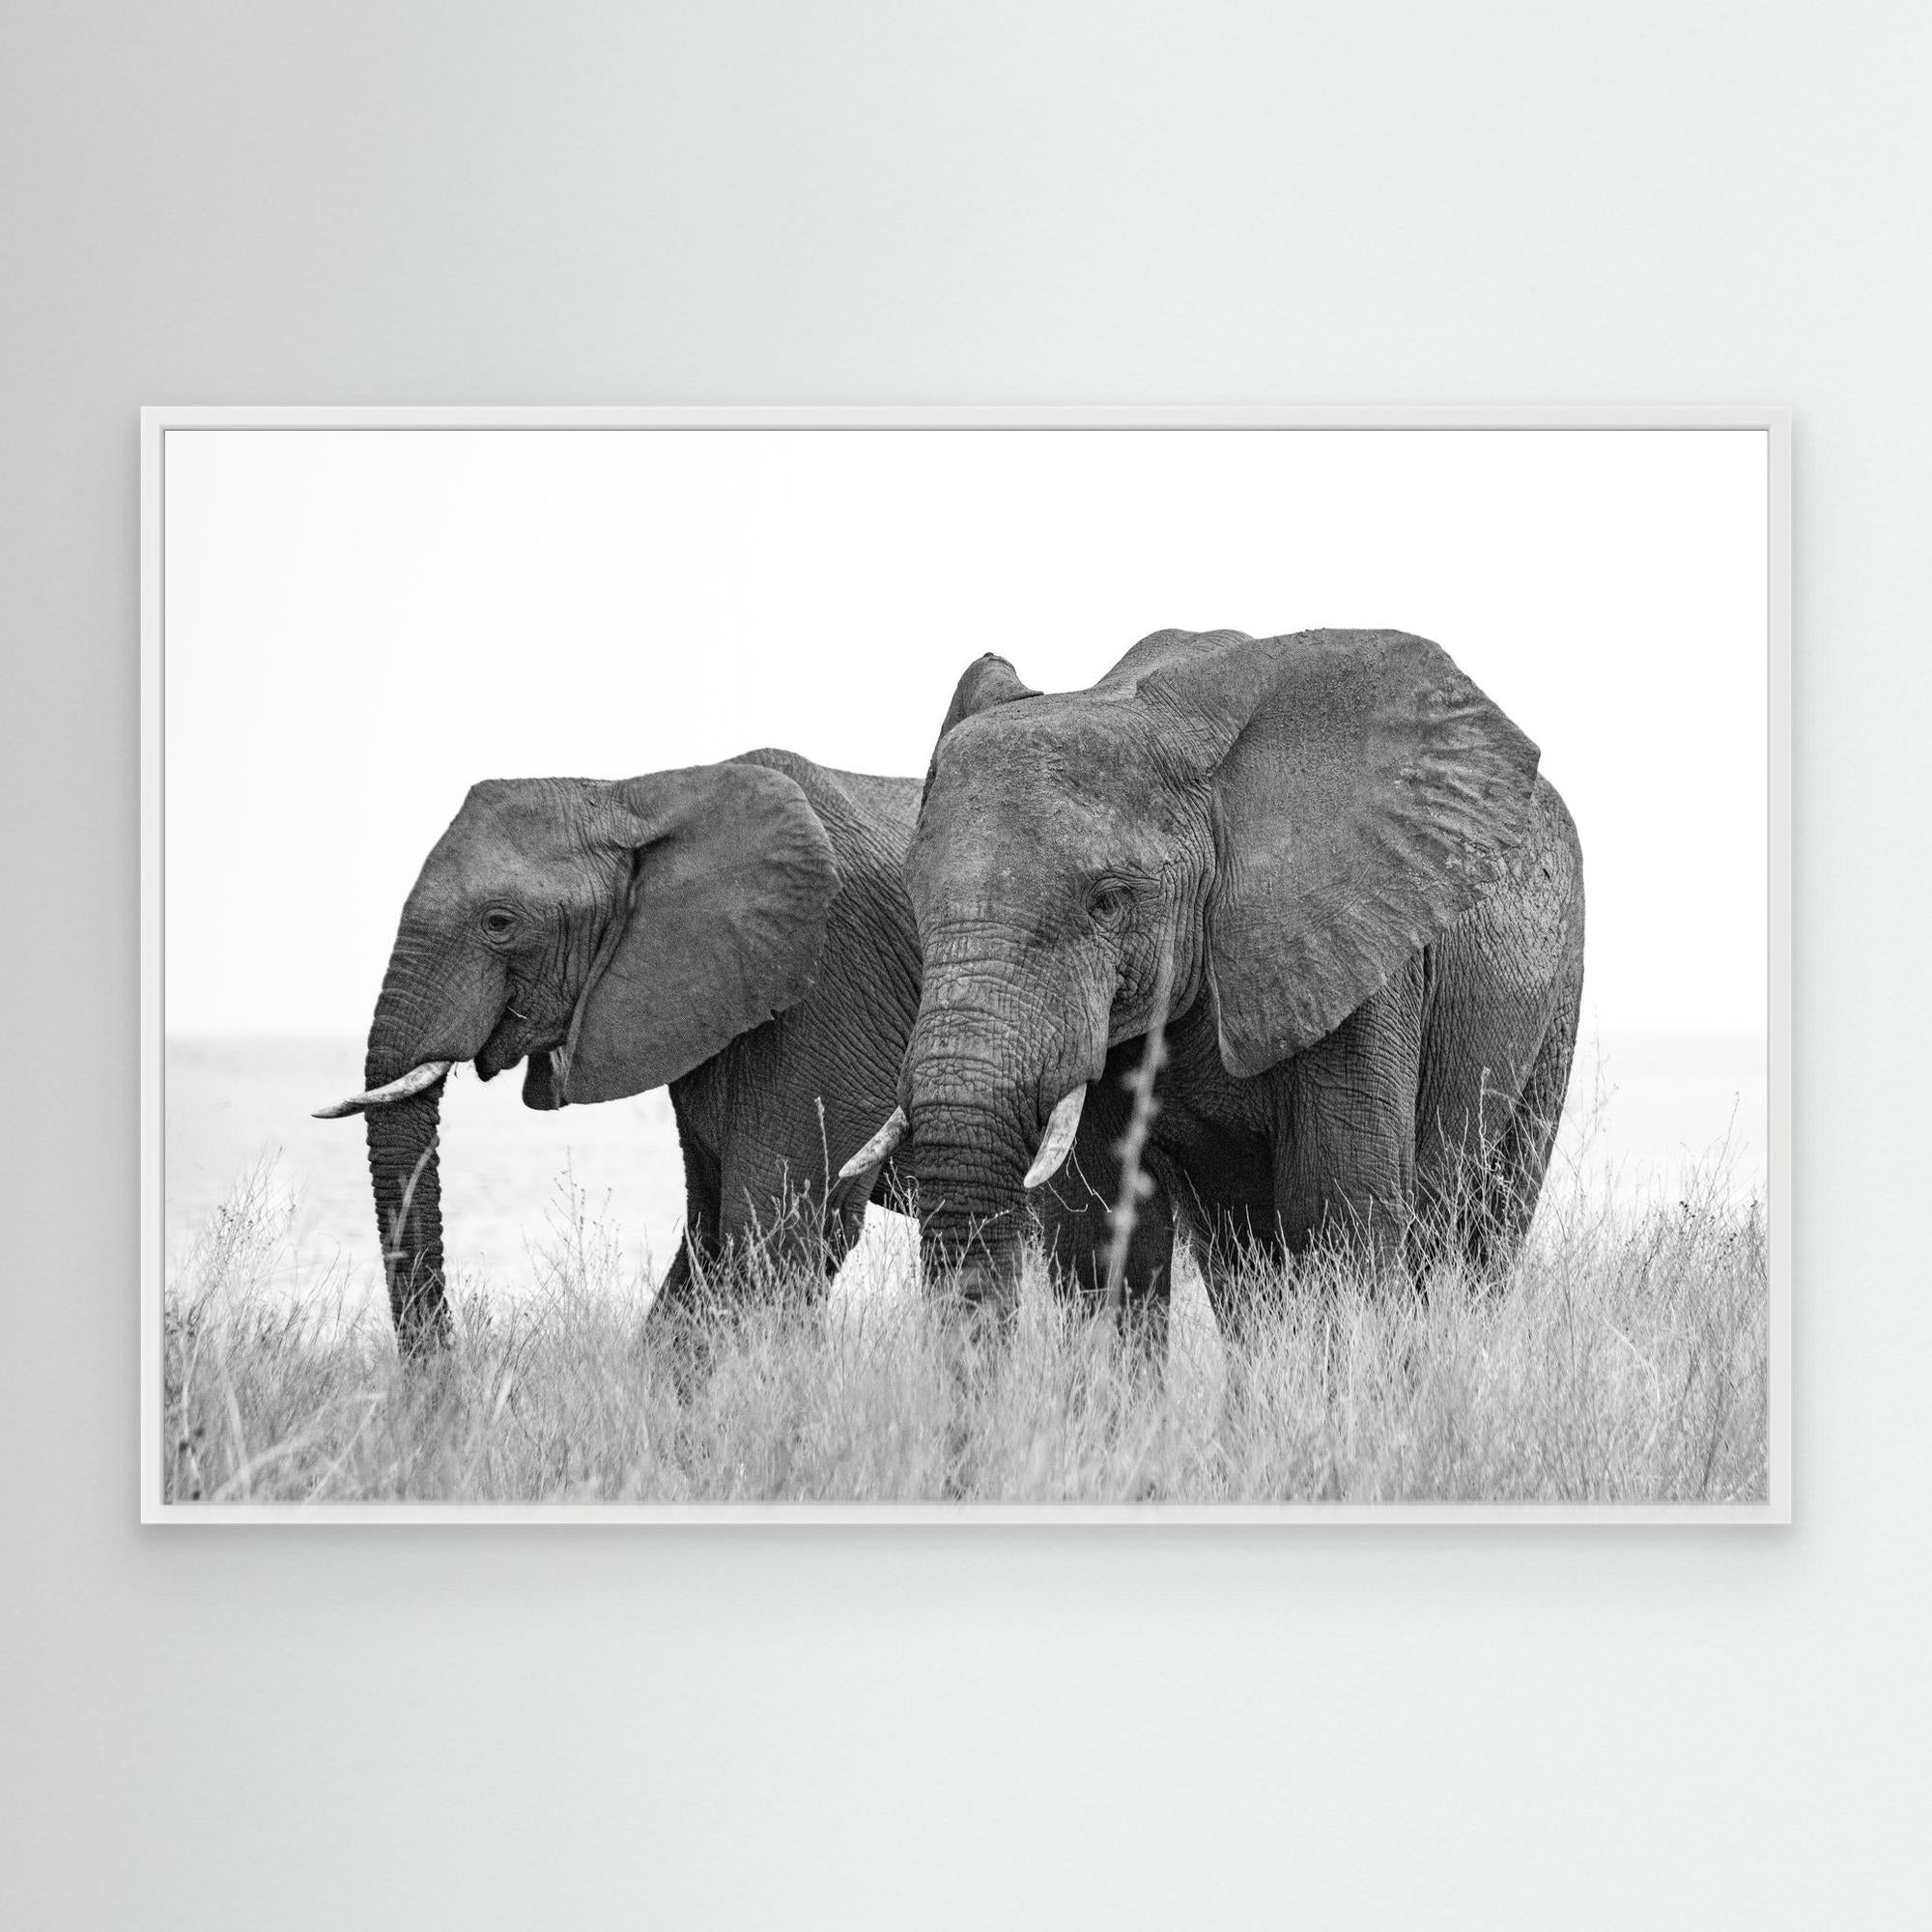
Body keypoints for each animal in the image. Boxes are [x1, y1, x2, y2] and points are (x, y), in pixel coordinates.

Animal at [312, 749, 933, 1355]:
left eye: (499, 923)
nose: (450, 1379)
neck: (633, 796)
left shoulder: (838, 975)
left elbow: (772, 1233)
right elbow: (708, 1236)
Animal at [870, 627, 1586, 1349]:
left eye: (1108, 902)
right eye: (914, 895)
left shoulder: (1358, 951)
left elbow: (1341, 1207)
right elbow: (1097, 1227)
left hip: (1558, 992)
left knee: (1485, 1227)